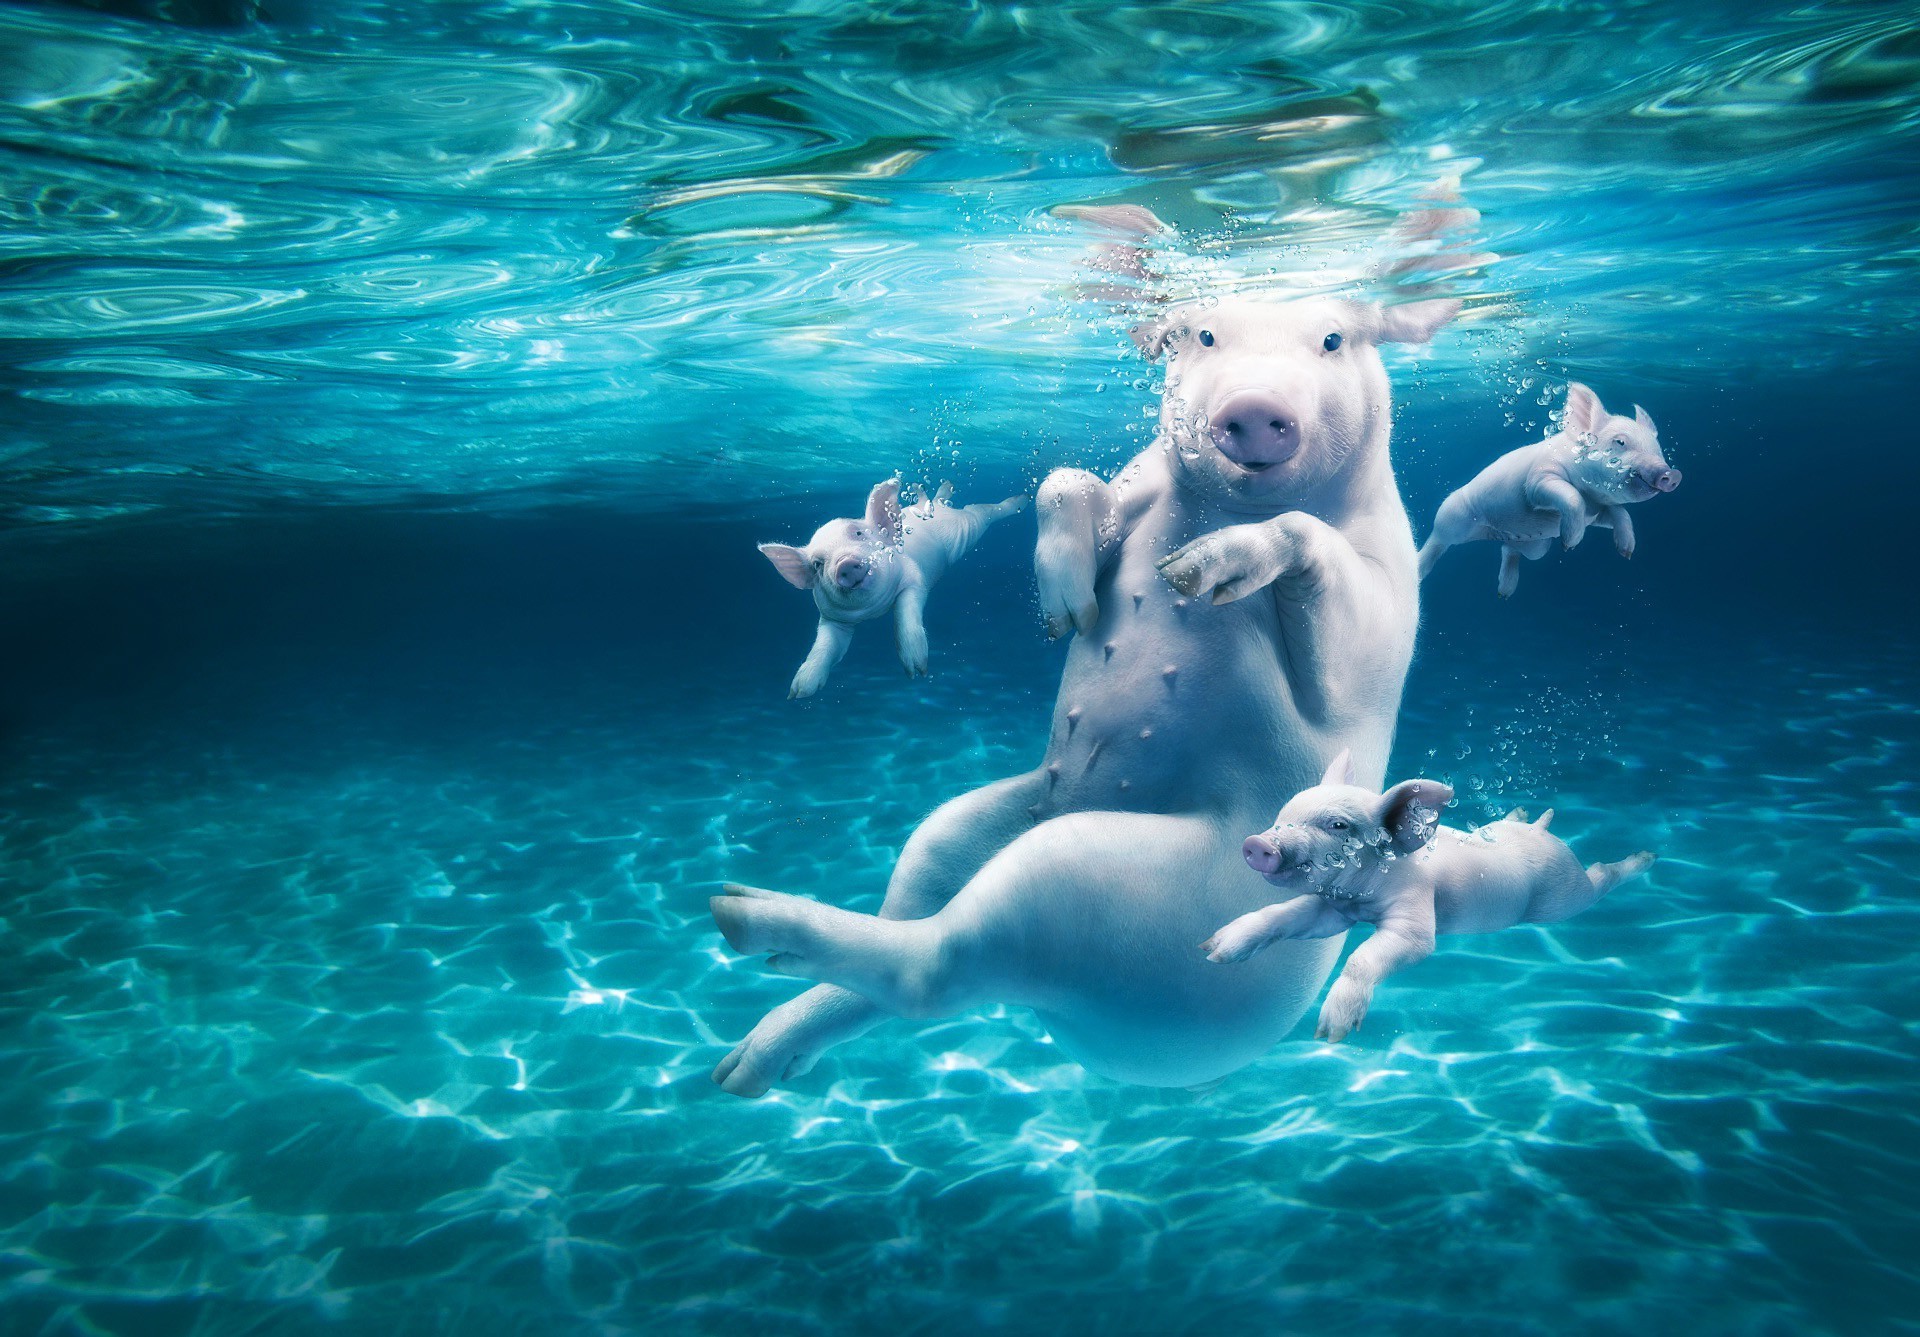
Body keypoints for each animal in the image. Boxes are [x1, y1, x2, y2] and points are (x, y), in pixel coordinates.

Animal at [756, 478, 1029, 699]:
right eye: (817, 564)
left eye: (859, 533)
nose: (845, 563)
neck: (873, 611)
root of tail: (939, 508)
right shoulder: (832, 618)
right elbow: (826, 646)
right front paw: (797, 692)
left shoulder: (913, 579)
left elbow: (905, 613)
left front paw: (917, 671)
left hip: (967, 529)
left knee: (982, 511)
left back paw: (1021, 500)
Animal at [1205, 753, 1643, 1045]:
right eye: (1284, 814)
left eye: (1338, 825)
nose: (1256, 843)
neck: (1360, 896)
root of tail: (1545, 832)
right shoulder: (1333, 910)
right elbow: (1284, 916)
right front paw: (1212, 951)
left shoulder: (1414, 916)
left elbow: (1371, 954)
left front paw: (1331, 1034)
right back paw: (1519, 811)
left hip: (1564, 896)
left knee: (1600, 879)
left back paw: (1644, 858)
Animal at [1413, 384, 1681, 599]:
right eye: (1620, 442)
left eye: (1657, 448)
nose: (1672, 474)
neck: (1591, 498)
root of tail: (1494, 533)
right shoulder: (1538, 479)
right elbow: (1570, 495)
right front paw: (1569, 545)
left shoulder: (1596, 513)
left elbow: (1620, 512)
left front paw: (1626, 553)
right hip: (1451, 518)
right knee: (1437, 542)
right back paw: (1419, 572)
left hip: (1537, 548)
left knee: (1509, 549)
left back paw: (1504, 594)